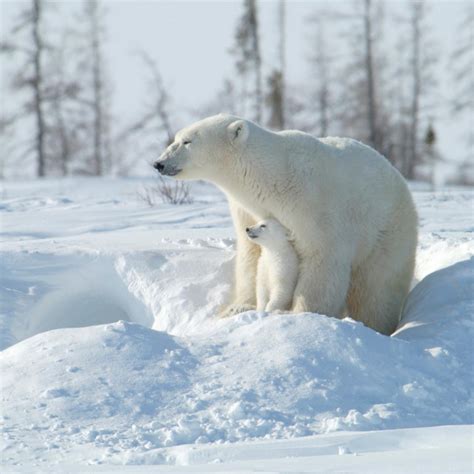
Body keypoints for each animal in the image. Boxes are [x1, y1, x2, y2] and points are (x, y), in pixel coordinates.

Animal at [154, 114, 416, 336]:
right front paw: (236, 309)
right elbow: (251, 257)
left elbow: (322, 262)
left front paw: (299, 314)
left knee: (377, 290)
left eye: (187, 141)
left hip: (386, 233)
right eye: (176, 138)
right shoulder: (246, 211)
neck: (272, 178)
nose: (159, 163)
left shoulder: (313, 206)